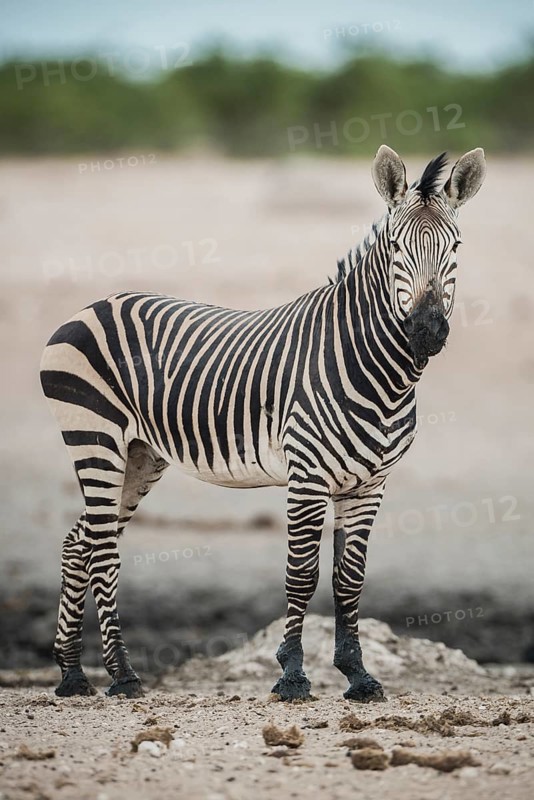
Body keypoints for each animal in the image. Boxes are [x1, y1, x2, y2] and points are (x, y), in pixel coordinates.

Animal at [40, 145, 486, 702]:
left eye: (456, 247)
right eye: (395, 248)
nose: (426, 329)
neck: (377, 370)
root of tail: (89, 306)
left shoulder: (369, 484)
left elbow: (349, 579)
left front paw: (358, 675)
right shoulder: (308, 476)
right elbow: (302, 576)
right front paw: (292, 676)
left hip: (139, 455)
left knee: (77, 542)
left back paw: (72, 674)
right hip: (95, 439)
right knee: (100, 549)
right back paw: (122, 676)